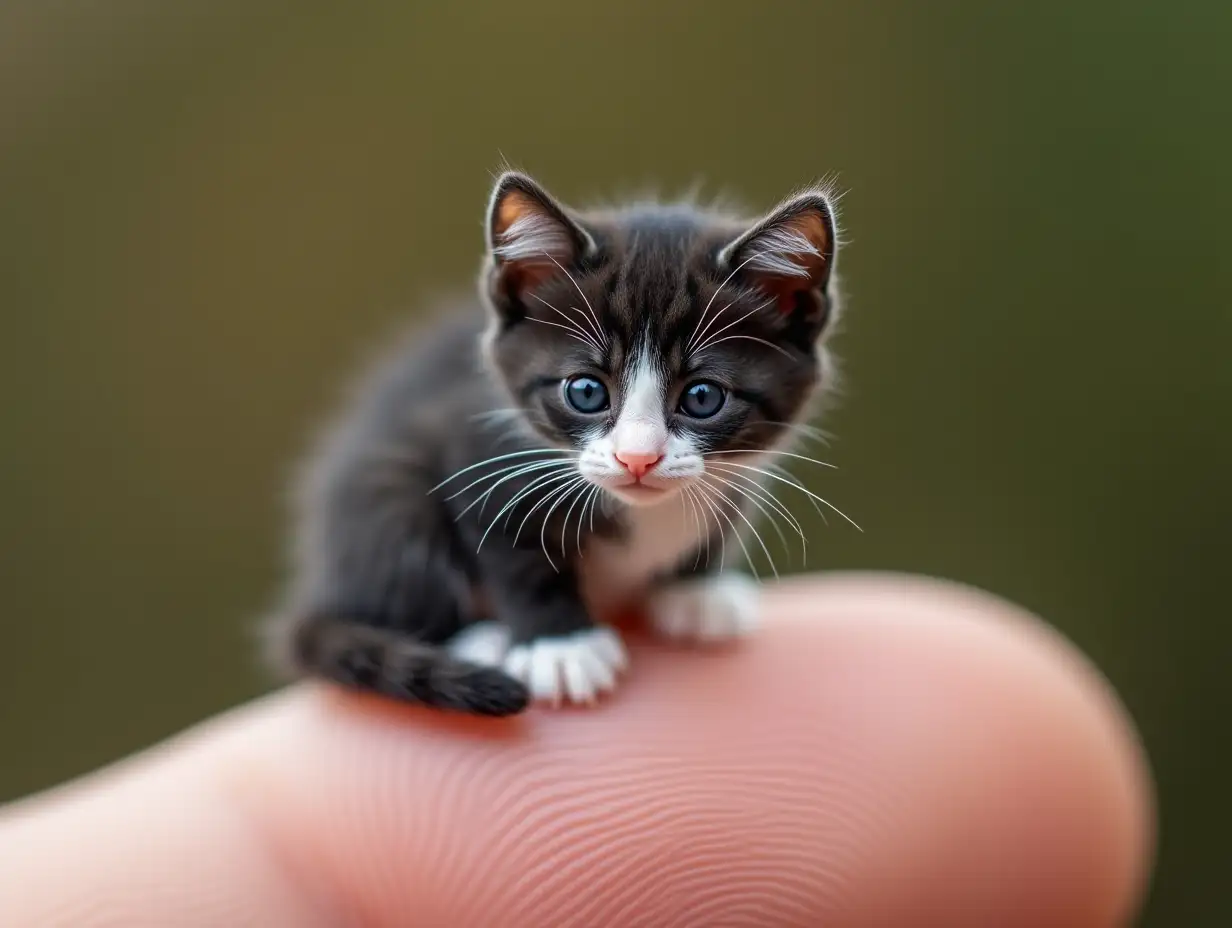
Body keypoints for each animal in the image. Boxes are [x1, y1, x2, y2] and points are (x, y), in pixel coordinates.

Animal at [263, 170, 842, 714]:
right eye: (585, 391)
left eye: (702, 397)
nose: (638, 457)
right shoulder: (476, 451)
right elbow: (512, 552)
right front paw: (561, 646)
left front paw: (694, 589)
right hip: (384, 491)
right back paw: (476, 640)